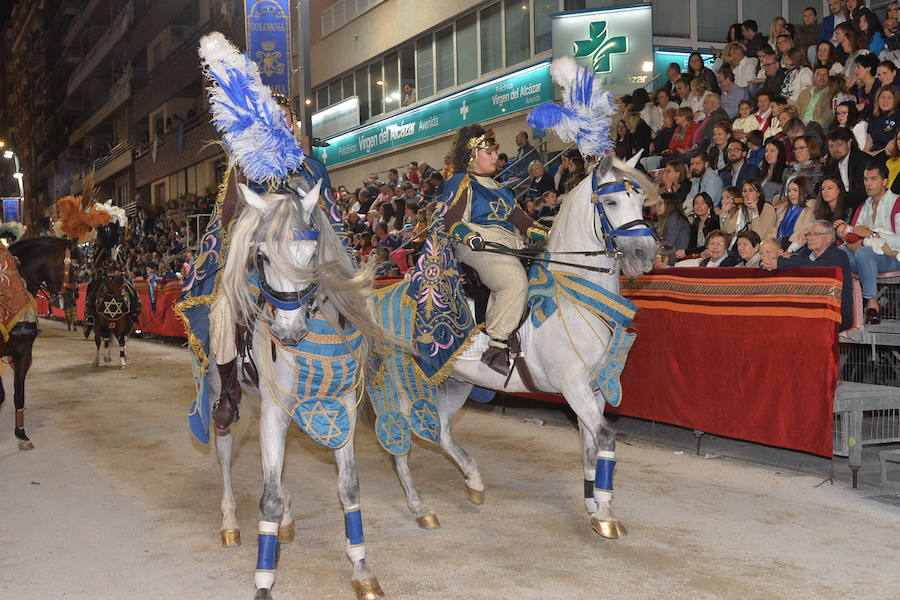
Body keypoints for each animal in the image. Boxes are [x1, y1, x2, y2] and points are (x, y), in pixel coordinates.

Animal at [221, 180, 390, 600]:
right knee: (225, 447)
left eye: (311, 255)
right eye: (262, 256)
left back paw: (285, 523)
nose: (288, 332)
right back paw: (229, 523)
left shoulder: (339, 408)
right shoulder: (273, 412)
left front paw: (362, 570)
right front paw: (264, 582)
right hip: (225, 394)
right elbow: (267, 498)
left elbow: (348, 487)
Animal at [376, 152, 656, 536]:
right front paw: (606, 514)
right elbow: (604, 437)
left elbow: (590, 445)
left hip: (457, 381)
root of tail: (386, 295)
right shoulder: (573, 386)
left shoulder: (594, 389)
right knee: (400, 440)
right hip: (404, 383)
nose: (646, 254)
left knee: (442, 431)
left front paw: (594, 504)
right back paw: (421, 508)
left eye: (640, 199)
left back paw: (475, 483)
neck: (575, 294)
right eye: (611, 202)